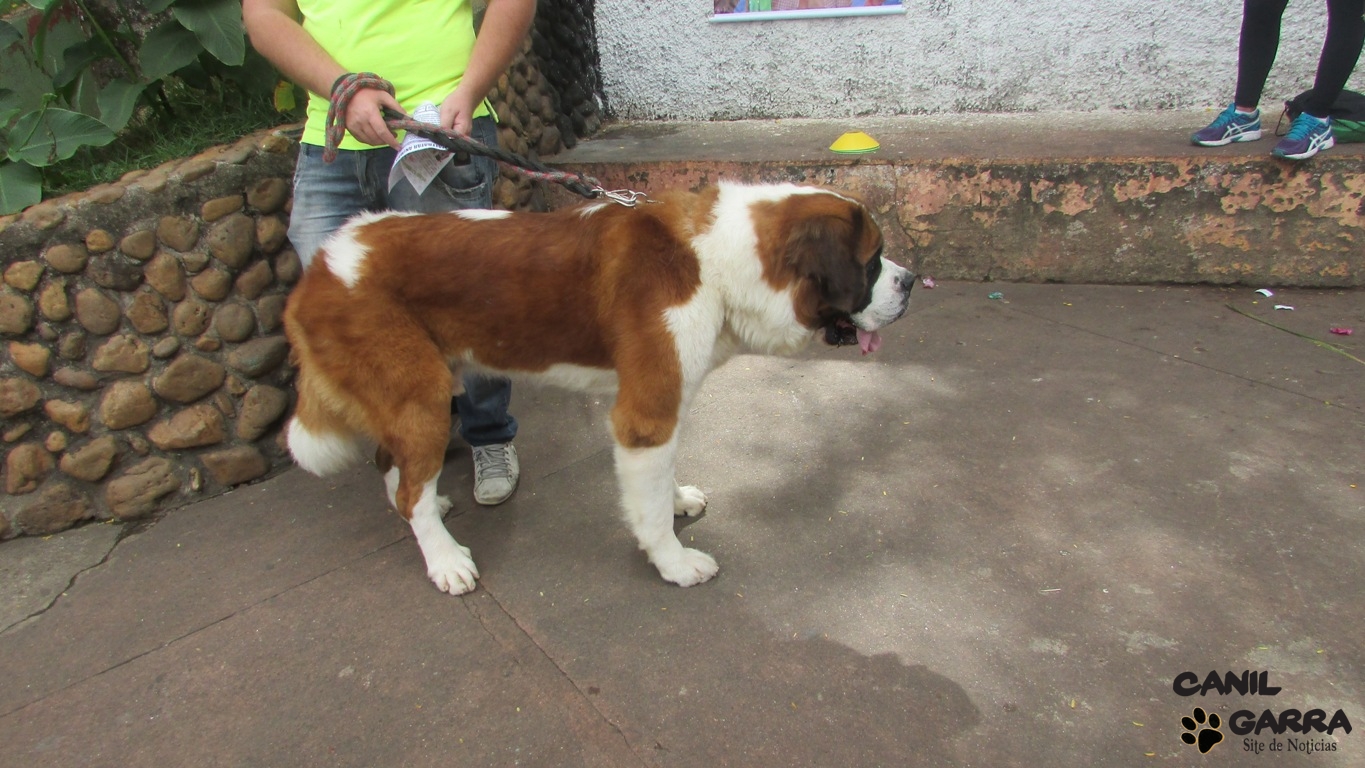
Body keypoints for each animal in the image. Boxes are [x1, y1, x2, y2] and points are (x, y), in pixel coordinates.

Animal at [283, 182, 914, 594]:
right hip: (422, 398)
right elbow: (650, 512)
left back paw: (425, 507)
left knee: (394, 465)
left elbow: (661, 480)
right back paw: (443, 558)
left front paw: (677, 498)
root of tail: (318, 267)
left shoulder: (665, 403)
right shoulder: (646, 414)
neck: (712, 260)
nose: (911, 282)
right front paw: (674, 564)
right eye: (873, 261)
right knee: (410, 479)